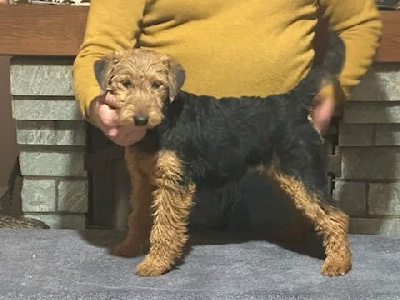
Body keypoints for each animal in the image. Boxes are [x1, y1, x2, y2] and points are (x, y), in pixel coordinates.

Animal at [93, 32, 350, 276]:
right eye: (126, 83)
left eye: (157, 84)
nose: (141, 119)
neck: (162, 124)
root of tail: (292, 102)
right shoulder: (143, 179)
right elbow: (138, 216)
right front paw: (129, 247)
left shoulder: (175, 183)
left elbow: (164, 226)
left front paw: (155, 263)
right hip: (290, 176)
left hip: (303, 171)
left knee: (335, 215)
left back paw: (338, 262)